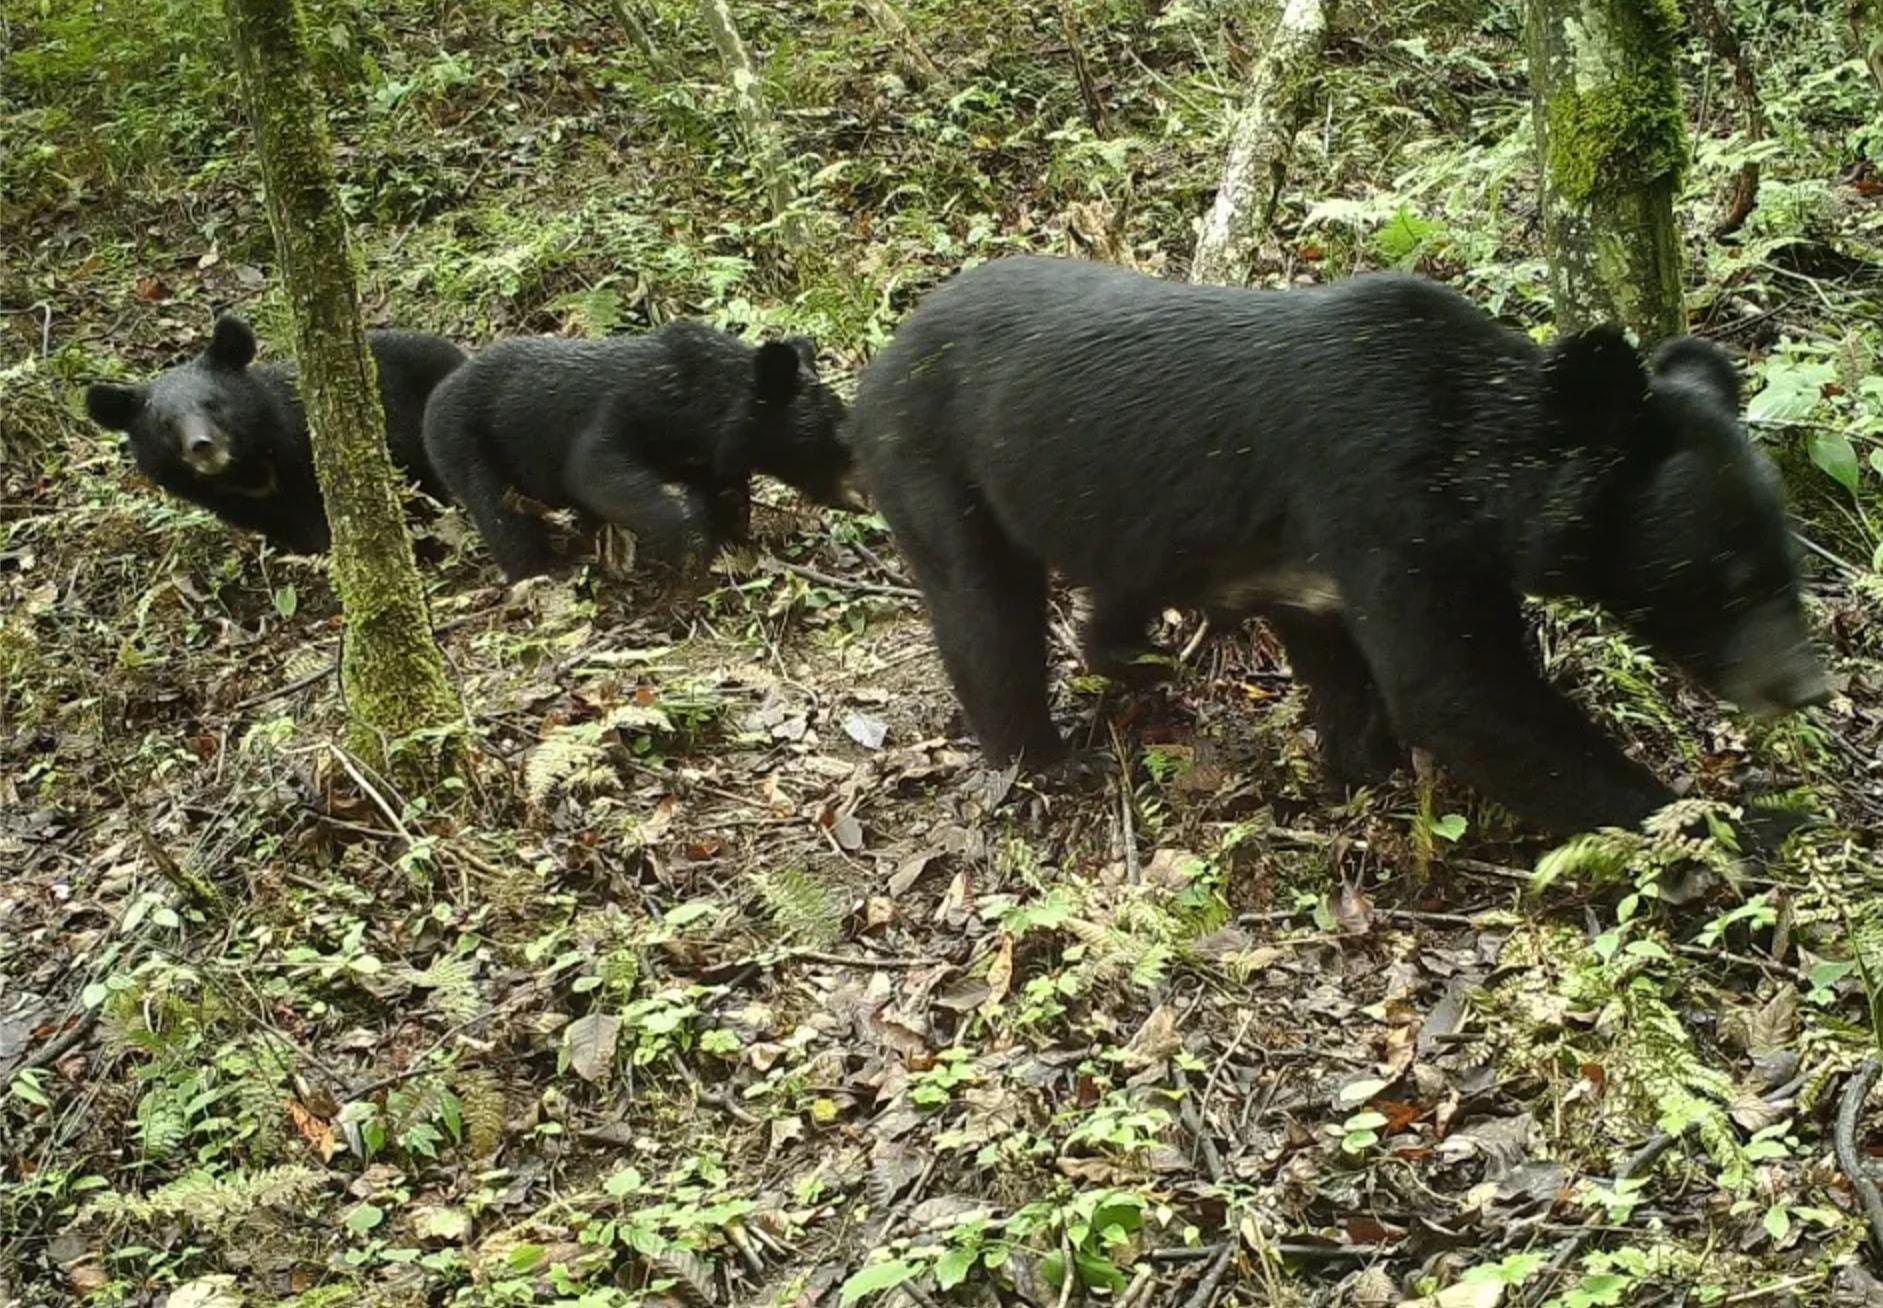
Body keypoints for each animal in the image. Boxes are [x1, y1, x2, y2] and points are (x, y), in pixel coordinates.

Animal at [423, 319, 858, 579]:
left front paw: (733, 537)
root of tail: (437, 392)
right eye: (827, 438)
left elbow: (727, 492)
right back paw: (537, 569)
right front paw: (693, 551)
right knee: (499, 515)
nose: (862, 494)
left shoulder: (707, 458)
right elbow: (595, 470)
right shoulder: (626, 412)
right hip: (465, 443)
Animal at [851, 255, 1822, 839]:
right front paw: (1729, 826)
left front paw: (1362, 768)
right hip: (934, 464)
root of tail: (879, 360)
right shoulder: (1380, 502)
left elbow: (1346, 668)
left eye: (1787, 564)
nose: (1807, 688)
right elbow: (1460, 693)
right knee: (985, 614)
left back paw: (1133, 662)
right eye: (1728, 581)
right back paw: (1045, 756)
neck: (1475, 463)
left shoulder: (1313, 564)